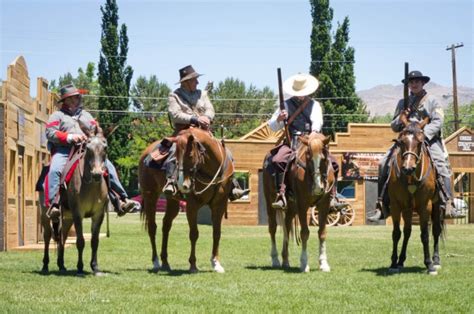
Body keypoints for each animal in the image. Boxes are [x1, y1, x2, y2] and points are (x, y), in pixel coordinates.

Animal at [41, 124, 109, 276]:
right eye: (87, 148)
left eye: (105, 147)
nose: (97, 174)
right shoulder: (78, 213)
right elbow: (80, 241)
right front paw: (79, 267)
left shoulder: (98, 214)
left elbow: (94, 241)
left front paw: (95, 267)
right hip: (44, 214)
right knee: (47, 236)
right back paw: (45, 266)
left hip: (67, 217)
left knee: (62, 237)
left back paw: (61, 265)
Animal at [138, 126, 234, 274]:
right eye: (175, 157)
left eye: (190, 155)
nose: (183, 184)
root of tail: (146, 152)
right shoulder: (192, 205)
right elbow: (194, 234)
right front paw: (193, 265)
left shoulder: (220, 204)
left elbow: (216, 233)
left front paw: (216, 263)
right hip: (150, 197)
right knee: (152, 227)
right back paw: (156, 262)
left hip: (172, 201)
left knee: (166, 225)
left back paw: (165, 262)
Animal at [262, 132, 334, 272]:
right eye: (308, 158)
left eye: (324, 159)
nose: (318, 188)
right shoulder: (302, 204)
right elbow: (305, 232)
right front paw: (304, 263)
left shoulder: (324, 204)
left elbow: (322, 233)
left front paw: (323, 263)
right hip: (270, 201)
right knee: (272, 228)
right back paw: (275, 259)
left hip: (291, 207)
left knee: (287, 225)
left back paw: (285, 260)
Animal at [386, 116, 442, 274]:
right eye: (401, 142)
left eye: (420, 142)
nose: (407, 168)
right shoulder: (396, 205)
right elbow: (397, 233)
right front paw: (393, 263)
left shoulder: (425, 206)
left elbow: (425, 235)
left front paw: (429, 264)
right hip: (408, 209)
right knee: (407, 232)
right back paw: (400, 261)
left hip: (437, 205)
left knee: (436, 230)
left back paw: (436, 260)